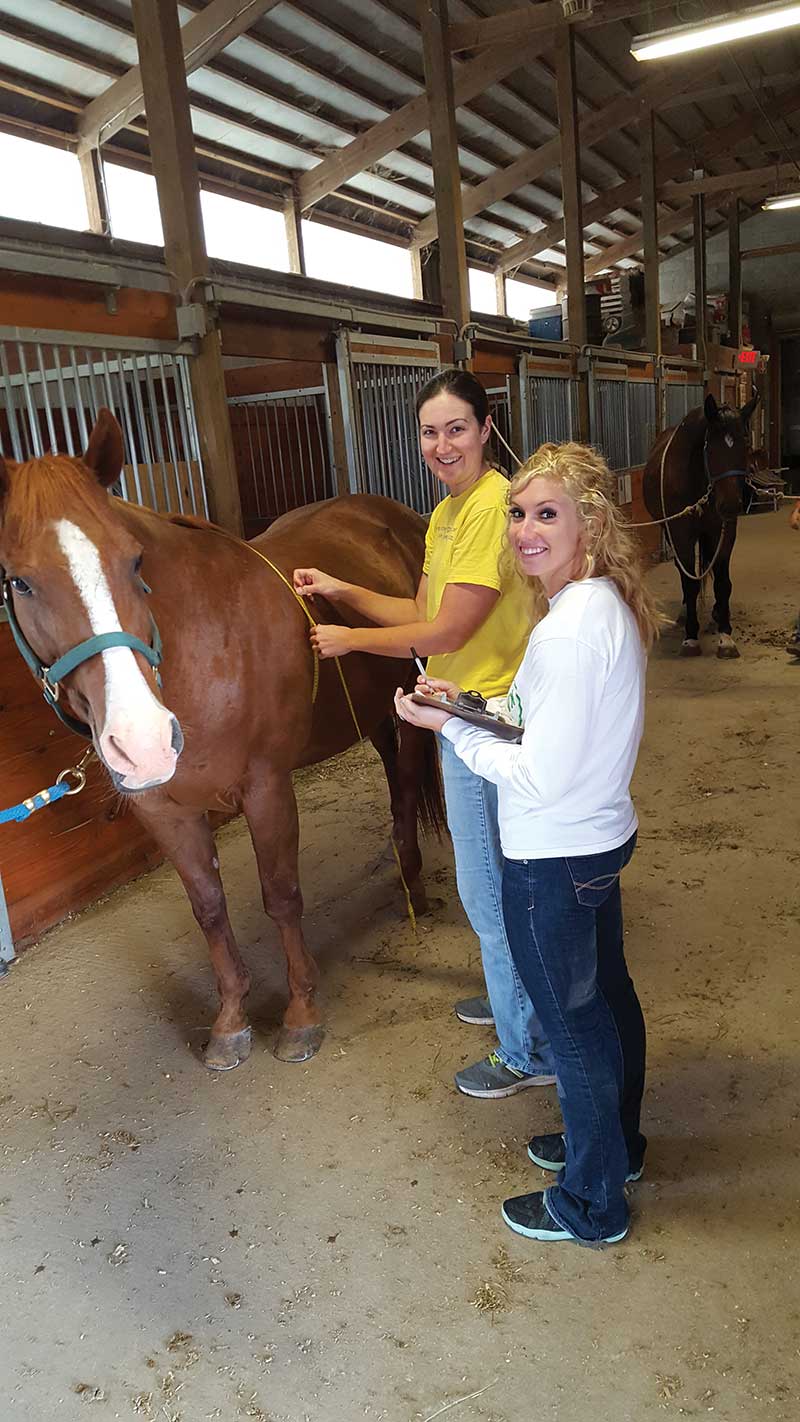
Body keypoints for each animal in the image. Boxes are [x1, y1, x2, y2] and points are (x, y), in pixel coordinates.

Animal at [0, 409, 445, 1071]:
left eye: (135, 562)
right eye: (21, 583)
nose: (144, 739)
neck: (200, 653)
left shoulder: (266, 788)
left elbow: (281, 895)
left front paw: (301, 1014)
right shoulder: (162, 809)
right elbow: (209, 908)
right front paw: (231, 1021)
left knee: (409, 786)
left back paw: (413, 886)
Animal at [643, 390, 759, 658]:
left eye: (745, 444)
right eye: (711, 449)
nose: (731, 505)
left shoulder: (723, 532)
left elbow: (722, 582)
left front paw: (726, 637)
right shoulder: (680, 535)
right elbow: (690, 583)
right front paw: (691, 637)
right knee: (685, 573)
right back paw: (686, 613)